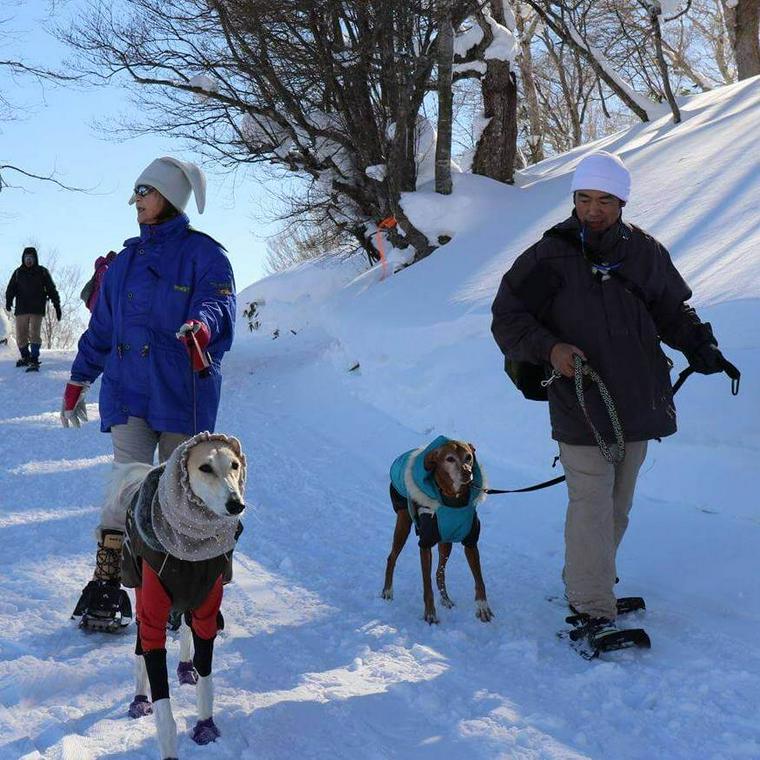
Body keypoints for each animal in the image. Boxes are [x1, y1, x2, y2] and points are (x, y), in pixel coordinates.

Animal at [117, 434, 246, 760]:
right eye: (205, 467)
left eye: (235, 465)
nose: (236, 504)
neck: (190, 551)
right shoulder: (152, 619)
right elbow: (162, 703)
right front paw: (169, 748)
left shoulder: (206, 607)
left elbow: (207, 676)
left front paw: (205, 726)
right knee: (139, 653)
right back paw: (139, 699)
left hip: (192, 601)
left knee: (187, 629)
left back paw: (186, 668)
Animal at [380, 440, 492, 624]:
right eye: (449, 459)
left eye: (468, 457)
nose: (467, 473)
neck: (453, 500)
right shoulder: (425, 544)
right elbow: (427, 585)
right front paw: (430, 614)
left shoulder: (471, 542)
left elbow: (479, 579)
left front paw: (483, 606)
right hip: (403, 523)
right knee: (392, 557)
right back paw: (387, 591)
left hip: (446, 541)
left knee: (440, 572)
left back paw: (446, 599)